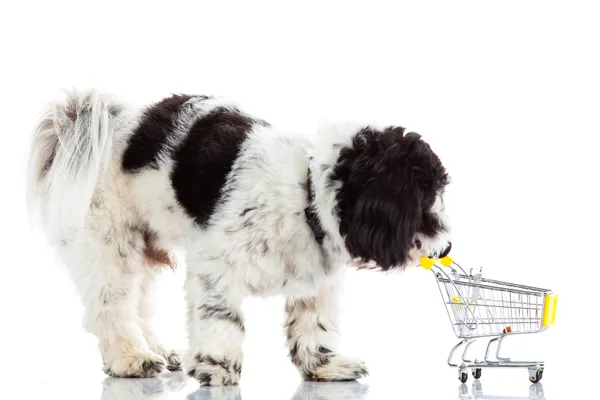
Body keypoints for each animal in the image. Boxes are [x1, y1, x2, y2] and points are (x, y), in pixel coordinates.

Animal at [27, 90, 450, 384]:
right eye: (424, 208)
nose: (447, 247)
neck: (305, 196)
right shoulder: (215, 269)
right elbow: (221, 320)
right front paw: (217, 367)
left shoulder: (315, 281)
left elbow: (314, 325)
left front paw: (325, 367)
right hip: (109, 245)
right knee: (111, 307)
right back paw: (131, 357)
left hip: (144, 245)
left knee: (139, 304)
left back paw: (158, 349)